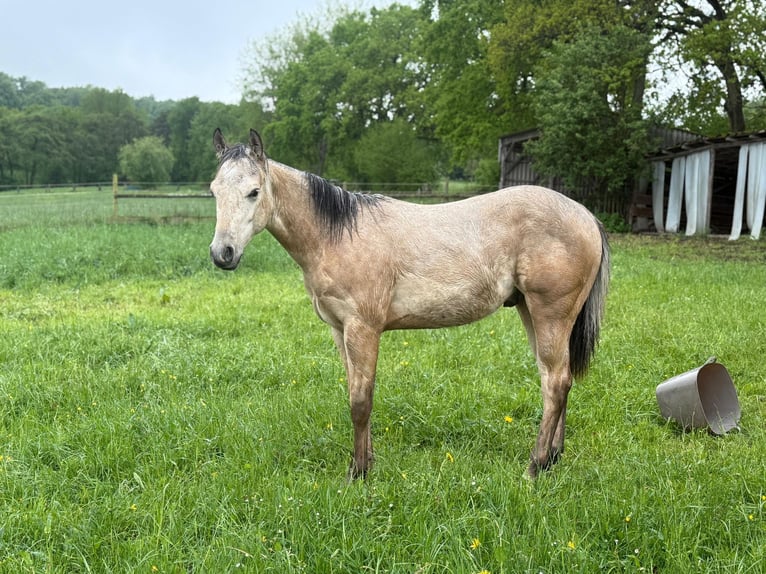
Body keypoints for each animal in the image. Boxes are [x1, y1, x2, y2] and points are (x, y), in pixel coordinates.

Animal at [208, 128, 610, 479]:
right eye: (213, 191)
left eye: (254, 191)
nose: (222, 253)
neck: (337, 236)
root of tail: (586, 215)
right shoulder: (340, 331)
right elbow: (355, 391)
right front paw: (367, 461)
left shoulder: (363, 329)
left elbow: (361, 400)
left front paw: (358, 473)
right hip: (532, 312)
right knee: (555, 378)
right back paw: (553, 458)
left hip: (550, 314)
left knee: (556, 382)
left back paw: (535, 467)